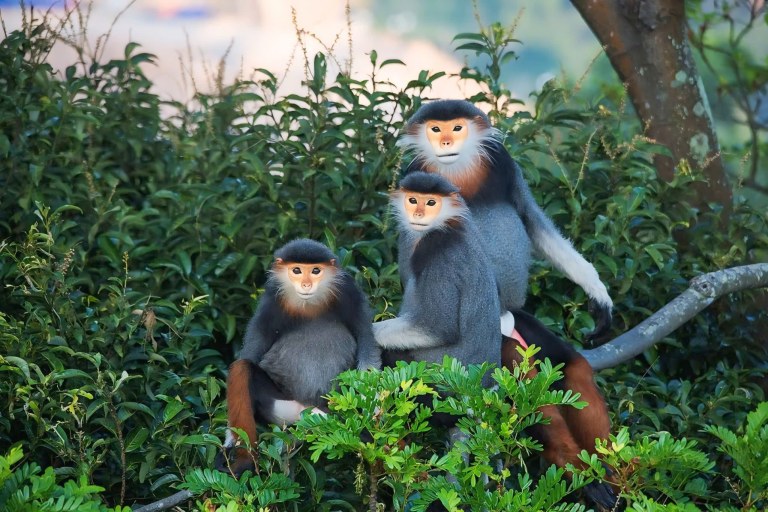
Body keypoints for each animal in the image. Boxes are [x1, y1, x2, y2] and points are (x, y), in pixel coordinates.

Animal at [215, 239, 381, 477]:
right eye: (296, 270)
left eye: (315, 271)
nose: (306, 285)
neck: (309, 305)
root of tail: (307, 408)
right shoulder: (270, 303)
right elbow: (250, 354)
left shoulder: (349, 292)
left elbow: (366, 345)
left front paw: (375, 415)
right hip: (279, 406)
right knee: (242, 367)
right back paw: (244, 460)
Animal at [373, 171, 502, 387]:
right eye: (413, 200)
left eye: (431, 202)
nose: (418, 214)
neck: (446, 224)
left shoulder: (437, 250)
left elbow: (437, 329)